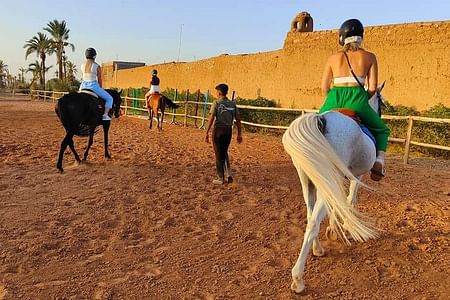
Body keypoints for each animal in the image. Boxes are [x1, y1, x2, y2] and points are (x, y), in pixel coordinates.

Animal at [284, 84, 384, 292]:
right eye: (382, 102)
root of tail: (321, 120)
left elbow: (338, 202)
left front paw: (334, 228)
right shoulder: (357, 176)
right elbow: (349, 200)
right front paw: (343, 226)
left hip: (309, 180)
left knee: (310, 215)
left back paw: (318, 249)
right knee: (314, 221)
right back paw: (298, 279)